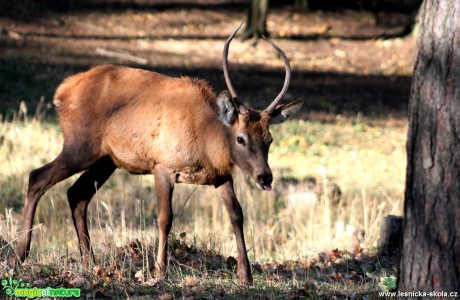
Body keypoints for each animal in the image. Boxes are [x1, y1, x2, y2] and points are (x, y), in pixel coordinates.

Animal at [8, 22, 302, 284]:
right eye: (240, 138)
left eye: (270, 139)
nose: (265, 177)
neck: (205, 140)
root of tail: (61, 92)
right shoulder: (162, 166)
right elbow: (165, 218)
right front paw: (160, 272)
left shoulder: (221, 176)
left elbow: (237, 214)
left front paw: (246, 275)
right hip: (79, 145)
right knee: (37, 176)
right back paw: (20, 254)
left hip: (107, 159)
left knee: (77, 194)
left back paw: (88, 261)